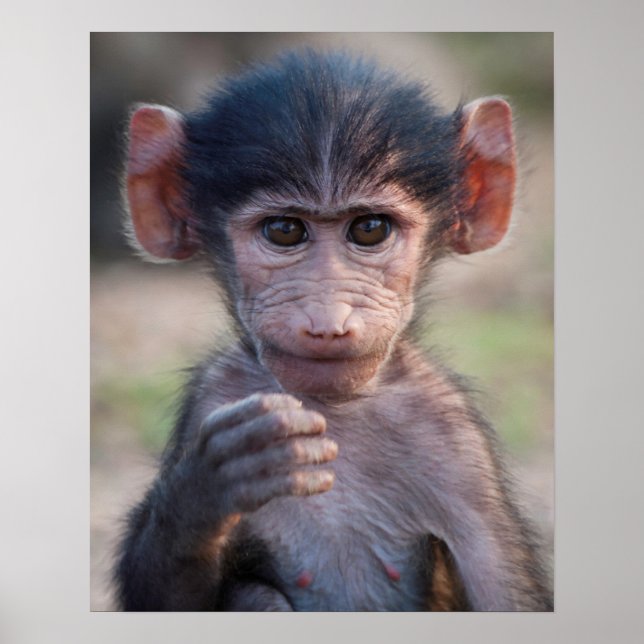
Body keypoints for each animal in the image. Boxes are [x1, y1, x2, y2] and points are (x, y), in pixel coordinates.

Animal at [114, 50, 553, 611]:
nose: (328, 320)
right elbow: (164, 596)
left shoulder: (456, 438)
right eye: (284, 230)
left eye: (369, 229)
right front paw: (208, 485)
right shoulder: (213, 397)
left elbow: (510, 596)